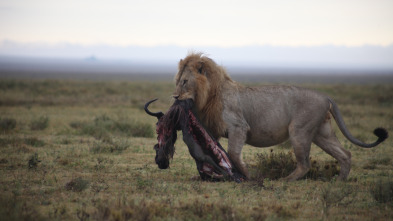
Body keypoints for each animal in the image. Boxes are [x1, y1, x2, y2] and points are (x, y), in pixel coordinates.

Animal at [173, 52, 388, 181]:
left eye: (184, 82)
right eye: (177, 81)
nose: (174, 96)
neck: (209, 95)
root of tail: (326, 96)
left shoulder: (239, 127)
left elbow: (233, 153)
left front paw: (247, 175)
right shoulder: (213, 129)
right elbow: (212, 151)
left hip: (299, 130)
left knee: (305, 164)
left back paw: (285, 180)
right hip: (321, 133)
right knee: (345, 154)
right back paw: (340, 180)